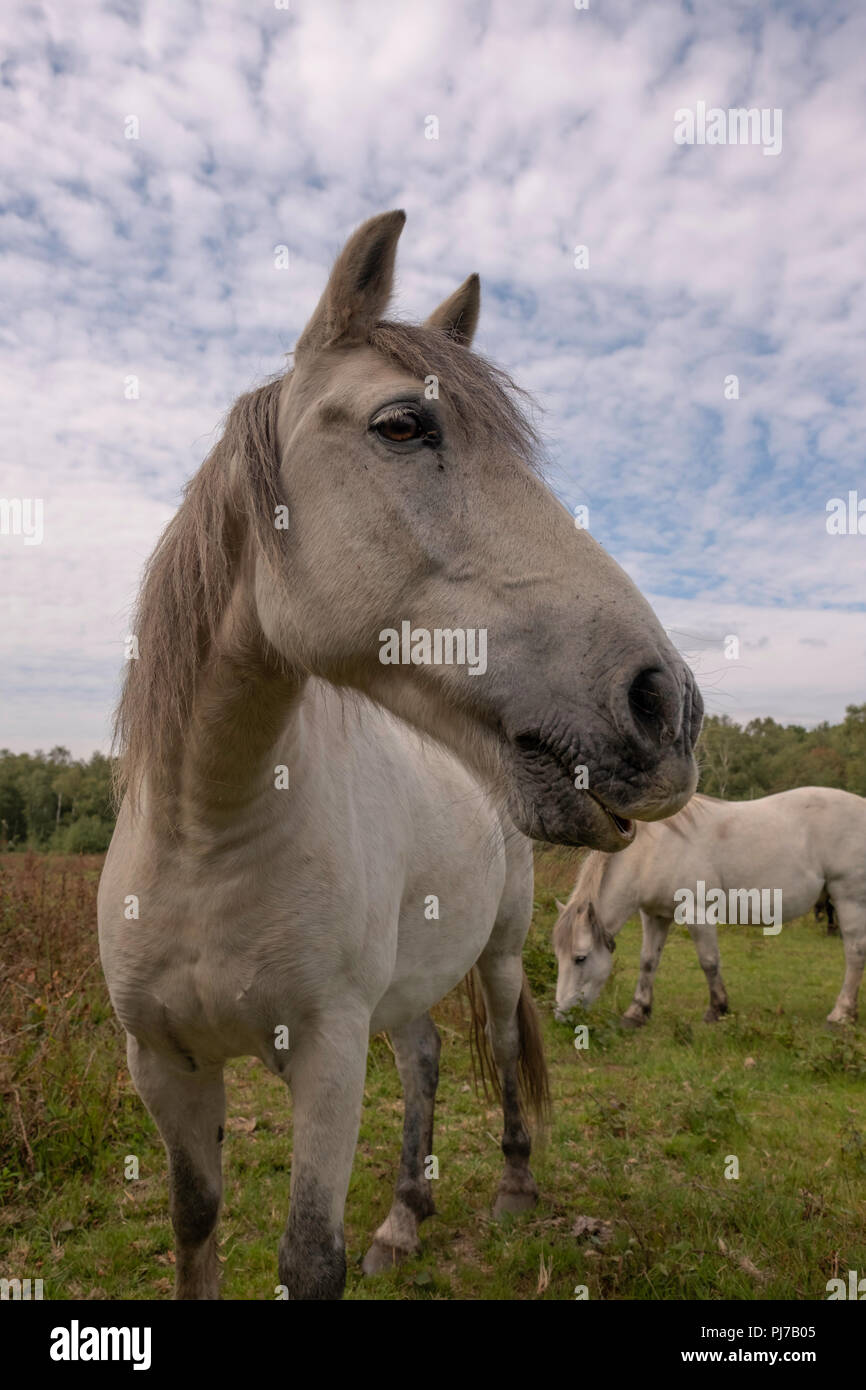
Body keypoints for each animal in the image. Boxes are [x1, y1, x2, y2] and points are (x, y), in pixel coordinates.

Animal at [97, 209, 702, 1300]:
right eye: (401, 426)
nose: (664, 705)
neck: (211, 830)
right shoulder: (163, 1063)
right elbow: (194, 1222)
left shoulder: (327, 1055)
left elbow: (309, 1256)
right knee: (422, 1055)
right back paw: (404, 1217)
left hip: (498, 954)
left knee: (496, 1041)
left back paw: (510, 1188)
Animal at [553, 787, 866, 1028]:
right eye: (558, 957)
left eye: (580, 958)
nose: (562, 1016)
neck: (654, 851)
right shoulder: (654, 916)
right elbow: (648, 961)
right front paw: (637, 1012)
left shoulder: (696, 913)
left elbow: (709, 961)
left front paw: (717, 1009)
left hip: (849, 899)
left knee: (854, 954)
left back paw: (841, 1014)